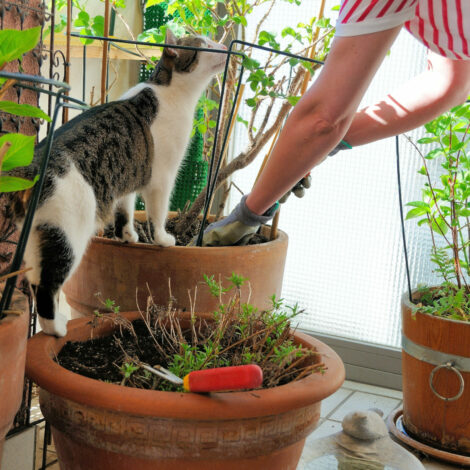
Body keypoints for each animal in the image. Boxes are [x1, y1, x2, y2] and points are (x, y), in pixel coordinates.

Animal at [7, 29, 228, 336]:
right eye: (205, 45)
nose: (223, 46)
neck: (169, 90)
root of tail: (33, 168)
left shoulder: (128, 175)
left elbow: (125, 209)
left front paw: (128, 235)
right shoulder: (161, 178)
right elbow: (157, 214)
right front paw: (162, 239)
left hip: (35, 239)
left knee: (35, 280)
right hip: (68, 235)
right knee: (48, 287)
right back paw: (57, 328)